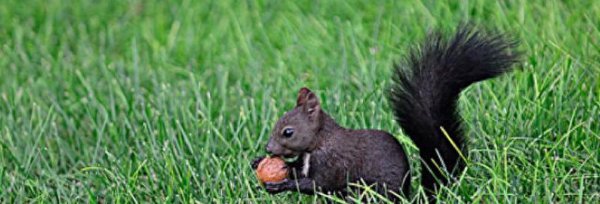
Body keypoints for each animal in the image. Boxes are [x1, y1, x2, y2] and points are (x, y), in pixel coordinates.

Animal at [251, 25, 516, 201]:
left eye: (288, 132)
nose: (269, 149)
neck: (319, 142)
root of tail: (409, 198)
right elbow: (299, 170)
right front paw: (258, 162)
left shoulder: (332, 163)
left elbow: (315, 184)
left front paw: (282, 184)